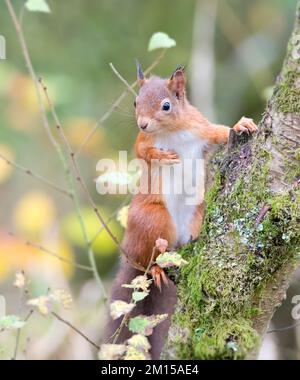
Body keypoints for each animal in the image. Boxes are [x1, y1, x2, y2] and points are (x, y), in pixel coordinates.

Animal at [106, 63, 258, 358]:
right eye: (135, 102)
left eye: (166, 105)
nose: (142, 123)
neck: (172, 130)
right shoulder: (144, 140)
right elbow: (141, 151)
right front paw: (161, 155)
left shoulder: (201, 128)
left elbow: (219, 132)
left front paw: (241, 124)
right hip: (153, 219)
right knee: (149, 259)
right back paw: (155, 269)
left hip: (195, 217)